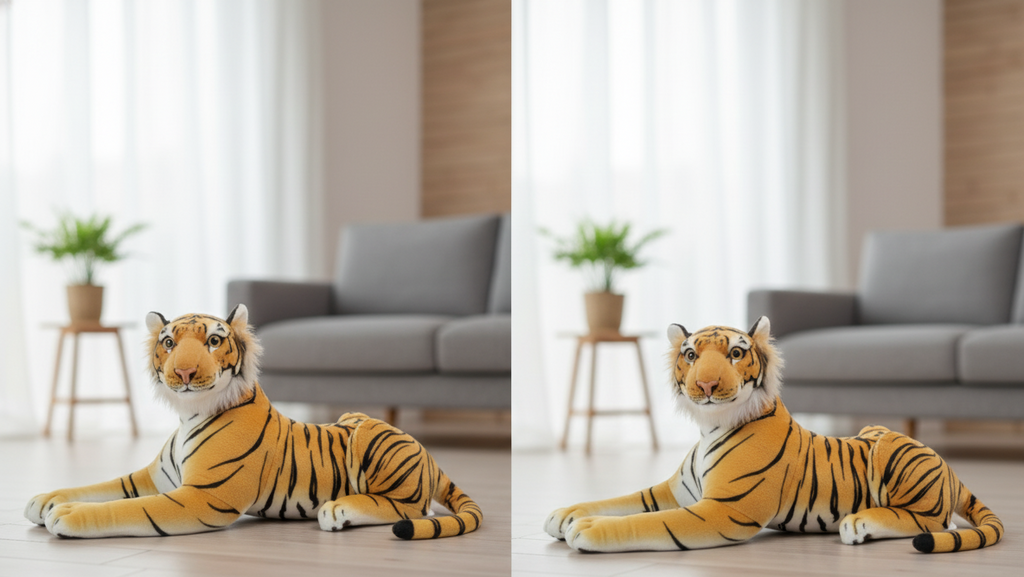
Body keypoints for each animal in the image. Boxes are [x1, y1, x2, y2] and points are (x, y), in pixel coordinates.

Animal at [24, 304, 482, 540]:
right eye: (169, 342)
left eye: (213, 340)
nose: (184, 372)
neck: (189, 414)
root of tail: (429, 455)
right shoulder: (153, 478)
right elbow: (99, 487)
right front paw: (45, 498)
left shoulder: (201, 498)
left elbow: (128, 508)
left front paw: (66, 515)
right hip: (355, 418)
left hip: (371, 435)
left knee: (408, 507)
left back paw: (337, 510)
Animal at [544, 316, 1003, 554]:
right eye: (690, 355)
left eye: (735, 353)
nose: (706, 384)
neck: (710, 427)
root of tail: (950, 469)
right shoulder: (674, 492)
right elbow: (619, 500)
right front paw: (565, 513)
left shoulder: (721, 511)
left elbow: (649, 522)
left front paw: (587, 529)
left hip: (892, 449)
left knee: (929, 520)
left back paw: (858, 524)